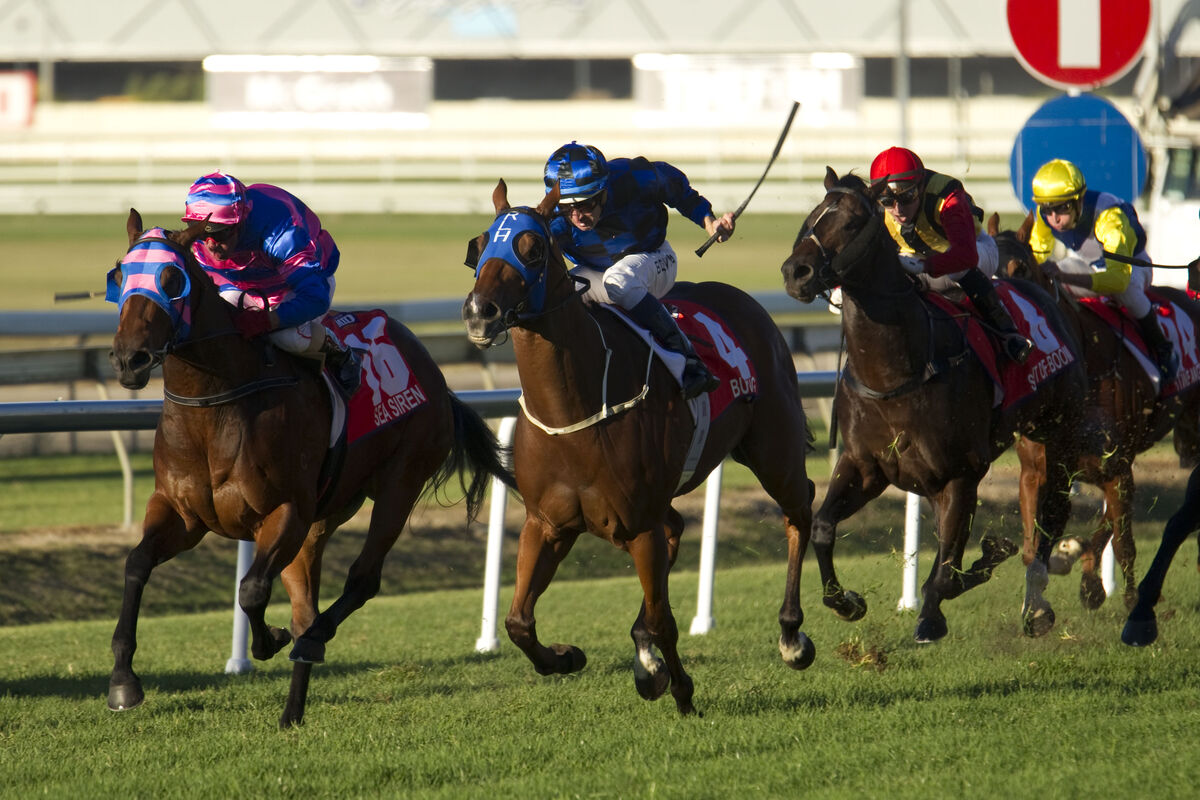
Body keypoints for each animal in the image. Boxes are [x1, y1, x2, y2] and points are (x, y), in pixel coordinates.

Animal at [106, 209, 515, 728]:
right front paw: (123, 681)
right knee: (306, 601)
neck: (214, 407)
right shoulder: (183, 514)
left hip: (399, 484)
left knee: (361, 581)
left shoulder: (284, 512)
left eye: (172, 279)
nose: (129, 358)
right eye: (120, 275)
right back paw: (292, 709)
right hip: (324, 516)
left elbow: (252, 590)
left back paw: (312, 640)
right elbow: (137, 563)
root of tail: (436, 376)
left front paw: (268, 641)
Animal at [461, 181, 816, 715]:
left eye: (533, 248)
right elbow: (518, 621)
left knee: (800, 508)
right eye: (481, 245)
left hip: (774, 448)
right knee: (678, 527)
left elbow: (666, 619)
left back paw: (794, 635)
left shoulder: (639, 525)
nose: (480, 313)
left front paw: (681, 689)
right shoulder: (547, 524)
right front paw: (568, 657)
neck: (575, 409)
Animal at [780, 168, 1091, 642]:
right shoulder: (865, 467)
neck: (893, 374)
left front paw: (930, 614)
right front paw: (846, 602)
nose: (795, 272)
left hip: (1057, 434)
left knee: (1049, 516)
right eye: (813, 215)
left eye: (850, 222)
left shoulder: (961, 472)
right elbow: (823, 526)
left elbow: (946, 570)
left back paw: (1036, 602)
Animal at [994, 212, 1200, 615]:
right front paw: (1071, 566)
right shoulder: (1035, 472)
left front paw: (1127, 596)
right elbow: (1032, 547)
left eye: (1019, 268)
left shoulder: (1116, 467)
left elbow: (1123, 541)